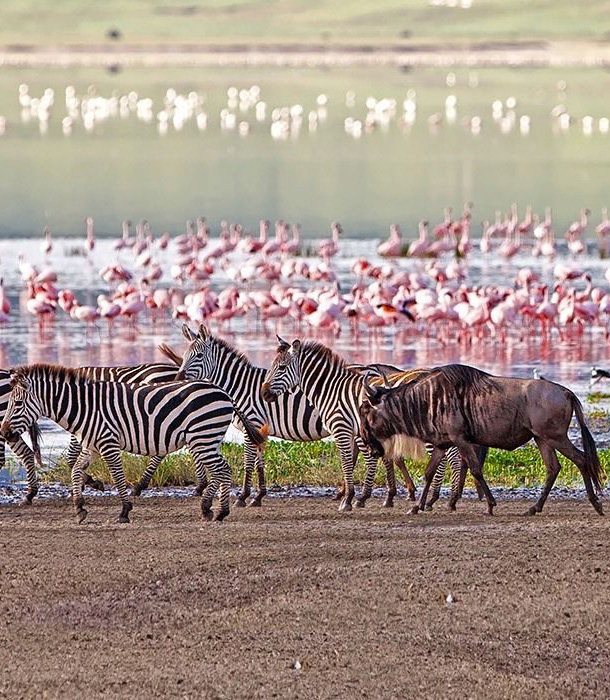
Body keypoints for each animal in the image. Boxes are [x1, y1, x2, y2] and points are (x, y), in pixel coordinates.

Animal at [1, 364, 264, 524]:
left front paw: (124, 511)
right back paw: (212, 509)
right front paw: (79, 508)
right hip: (207, 439)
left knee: (222, 470)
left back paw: (217, 510)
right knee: (221, 470)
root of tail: (223, 392)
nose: (3, 432)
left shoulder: (108, 443)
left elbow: (118, 477)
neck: (86, 407)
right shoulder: (92, 446)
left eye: (18, 404)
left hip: (203, 437)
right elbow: (76, 471)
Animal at [159, 322, 420, 508]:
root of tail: (377, 370)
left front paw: (243, 496)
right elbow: (259, 463)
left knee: (377, 455)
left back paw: (378, 495)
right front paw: (258, 496)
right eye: (184, 355)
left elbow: (248, 462)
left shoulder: (252, 422)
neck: (240, 385)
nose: (178, 378)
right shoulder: (259, 429)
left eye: (198, 356)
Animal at [260, 336, 484, 512]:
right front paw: (354, 496)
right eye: (272, 367)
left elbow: (348, 461)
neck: (331, 389)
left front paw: (350, 499)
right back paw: (442, 500)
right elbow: (360, 460)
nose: (264, 393)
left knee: (451, 458)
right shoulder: (354, 432)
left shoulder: (341, 429)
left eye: (281, 368)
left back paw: (443, 500)